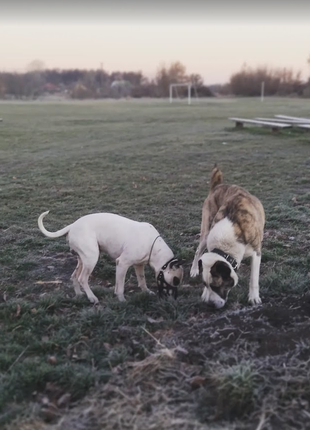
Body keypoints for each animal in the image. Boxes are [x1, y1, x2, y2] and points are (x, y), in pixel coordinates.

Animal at [38, 212, 184, 302]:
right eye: (175, 281)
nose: (174, 299)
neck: (153, 245)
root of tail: (72, 225)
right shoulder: (122, 263)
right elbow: (121, 286)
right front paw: (121, 299)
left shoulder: (138, 265)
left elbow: (141, 280)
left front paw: (146, 292)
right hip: (91, 259)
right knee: (82, 279)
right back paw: (92, 298)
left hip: (82, 260)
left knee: (74, 276)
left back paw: (80, 295)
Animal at [190, 165, 266, 310]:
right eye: (205, 284)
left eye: (216, 286)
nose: (209, 305)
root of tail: (217, 186)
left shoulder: (256, 252)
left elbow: (254, 278)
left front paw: (253, 297)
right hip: (206, 232)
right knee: (198, 251)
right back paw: (194, 269)